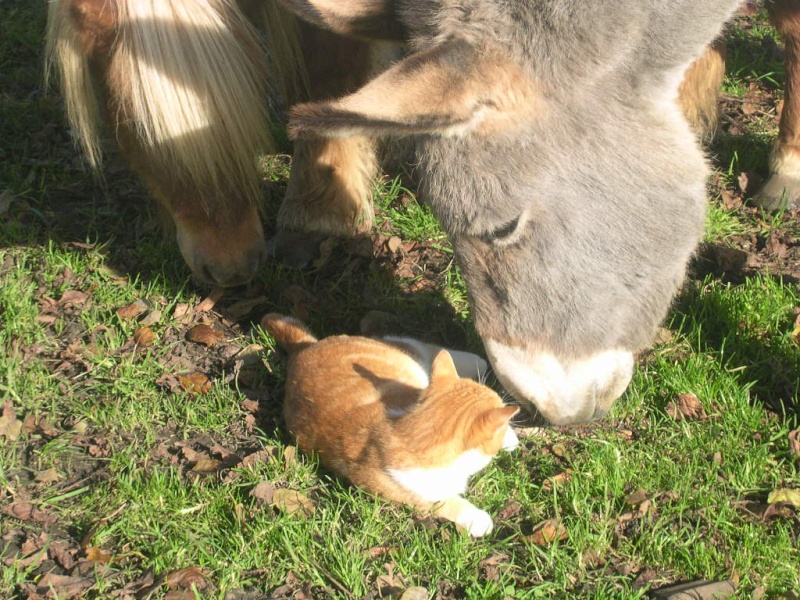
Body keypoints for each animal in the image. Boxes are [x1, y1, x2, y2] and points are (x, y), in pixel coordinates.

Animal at [260, 312, 520, 536]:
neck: (411, 433)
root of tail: (303, 348)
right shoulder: (413, 495)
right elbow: (446, 504)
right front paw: (479, 519)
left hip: (406, 358)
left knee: (421, 347)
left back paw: (476, 362)